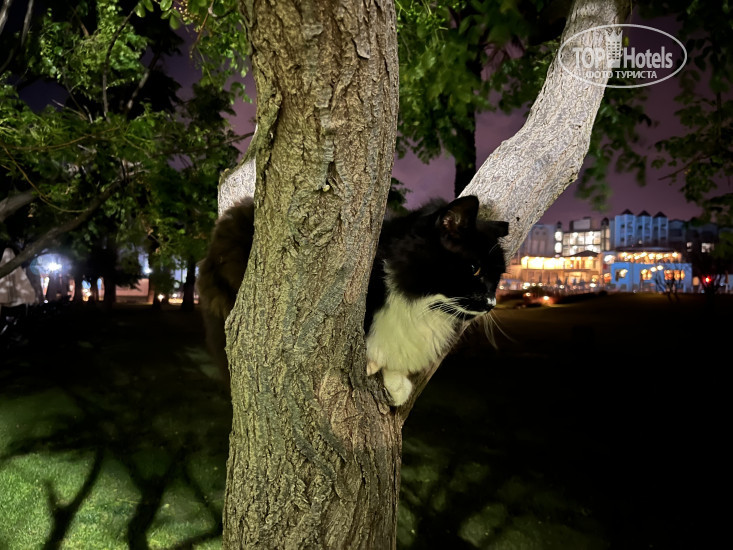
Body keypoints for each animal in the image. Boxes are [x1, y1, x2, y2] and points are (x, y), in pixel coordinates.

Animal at [196, 195, 508, 406]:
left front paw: (397, 383)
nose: (491, 303)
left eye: (498, 278)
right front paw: (374, 362)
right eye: (474, 269)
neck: (420, 303)